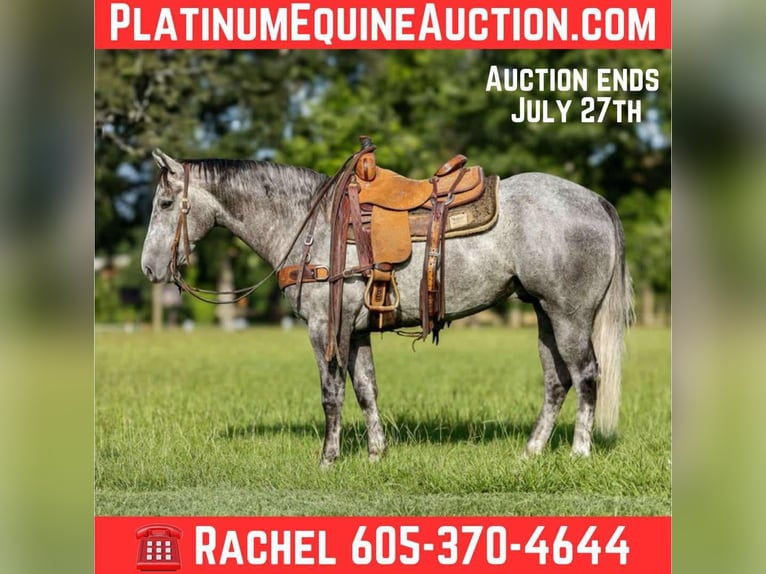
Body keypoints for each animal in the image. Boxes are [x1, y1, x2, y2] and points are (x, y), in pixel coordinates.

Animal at [140, 148, 633, 466]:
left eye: (165, 202)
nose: (148, 268)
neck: (311, 226)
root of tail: (596, 200)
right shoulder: (356, 331)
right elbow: (365, 390)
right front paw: (376, 453)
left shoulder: (327, 327)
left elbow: (332, 392)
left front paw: (328, 458)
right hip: (545, 313)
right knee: (556, 381)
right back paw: (531, 452)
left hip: (569, 315)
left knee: (587, 375)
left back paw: (580, 451)